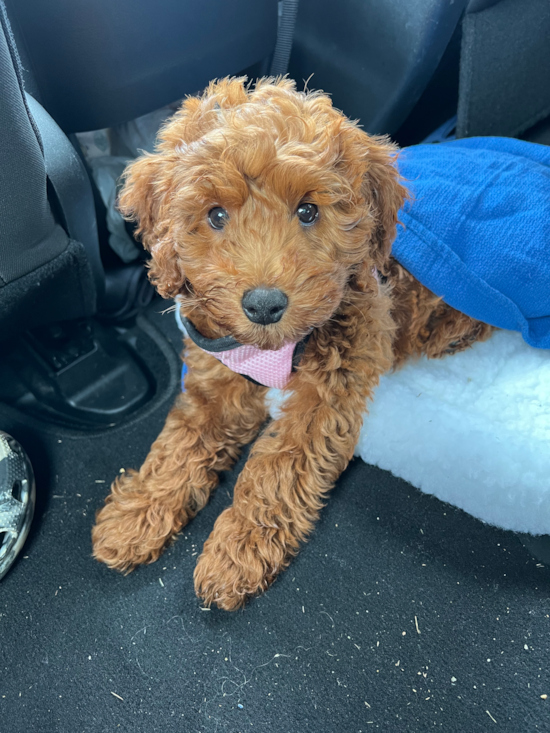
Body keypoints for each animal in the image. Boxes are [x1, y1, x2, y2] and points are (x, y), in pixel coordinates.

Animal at [92, 77, 494, 608]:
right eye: (215, 216)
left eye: (307, 211)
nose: (264, 305)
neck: (274, 349)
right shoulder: (216, 371)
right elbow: (180, 440)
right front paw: (138, 511)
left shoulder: (330, 389)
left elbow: (280, 464)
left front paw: (238, 548)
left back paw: (450, 332)